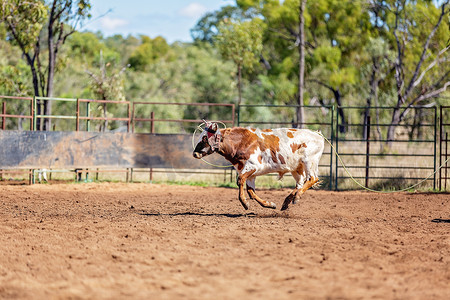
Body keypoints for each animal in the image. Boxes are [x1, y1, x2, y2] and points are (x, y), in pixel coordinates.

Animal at [192, 121, 324, 211]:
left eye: (204, 138)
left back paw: (296, 197)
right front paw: (269, 204)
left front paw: (244, 203)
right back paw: (287, 202)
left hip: (309, 161)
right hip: (297, 168)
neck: (241, 142)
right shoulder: (249, 173)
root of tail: (317, 135)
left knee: (312, 179)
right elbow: (251, 191)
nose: (195, 153)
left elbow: (240, 181)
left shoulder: (252, 166)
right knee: (300, 183)